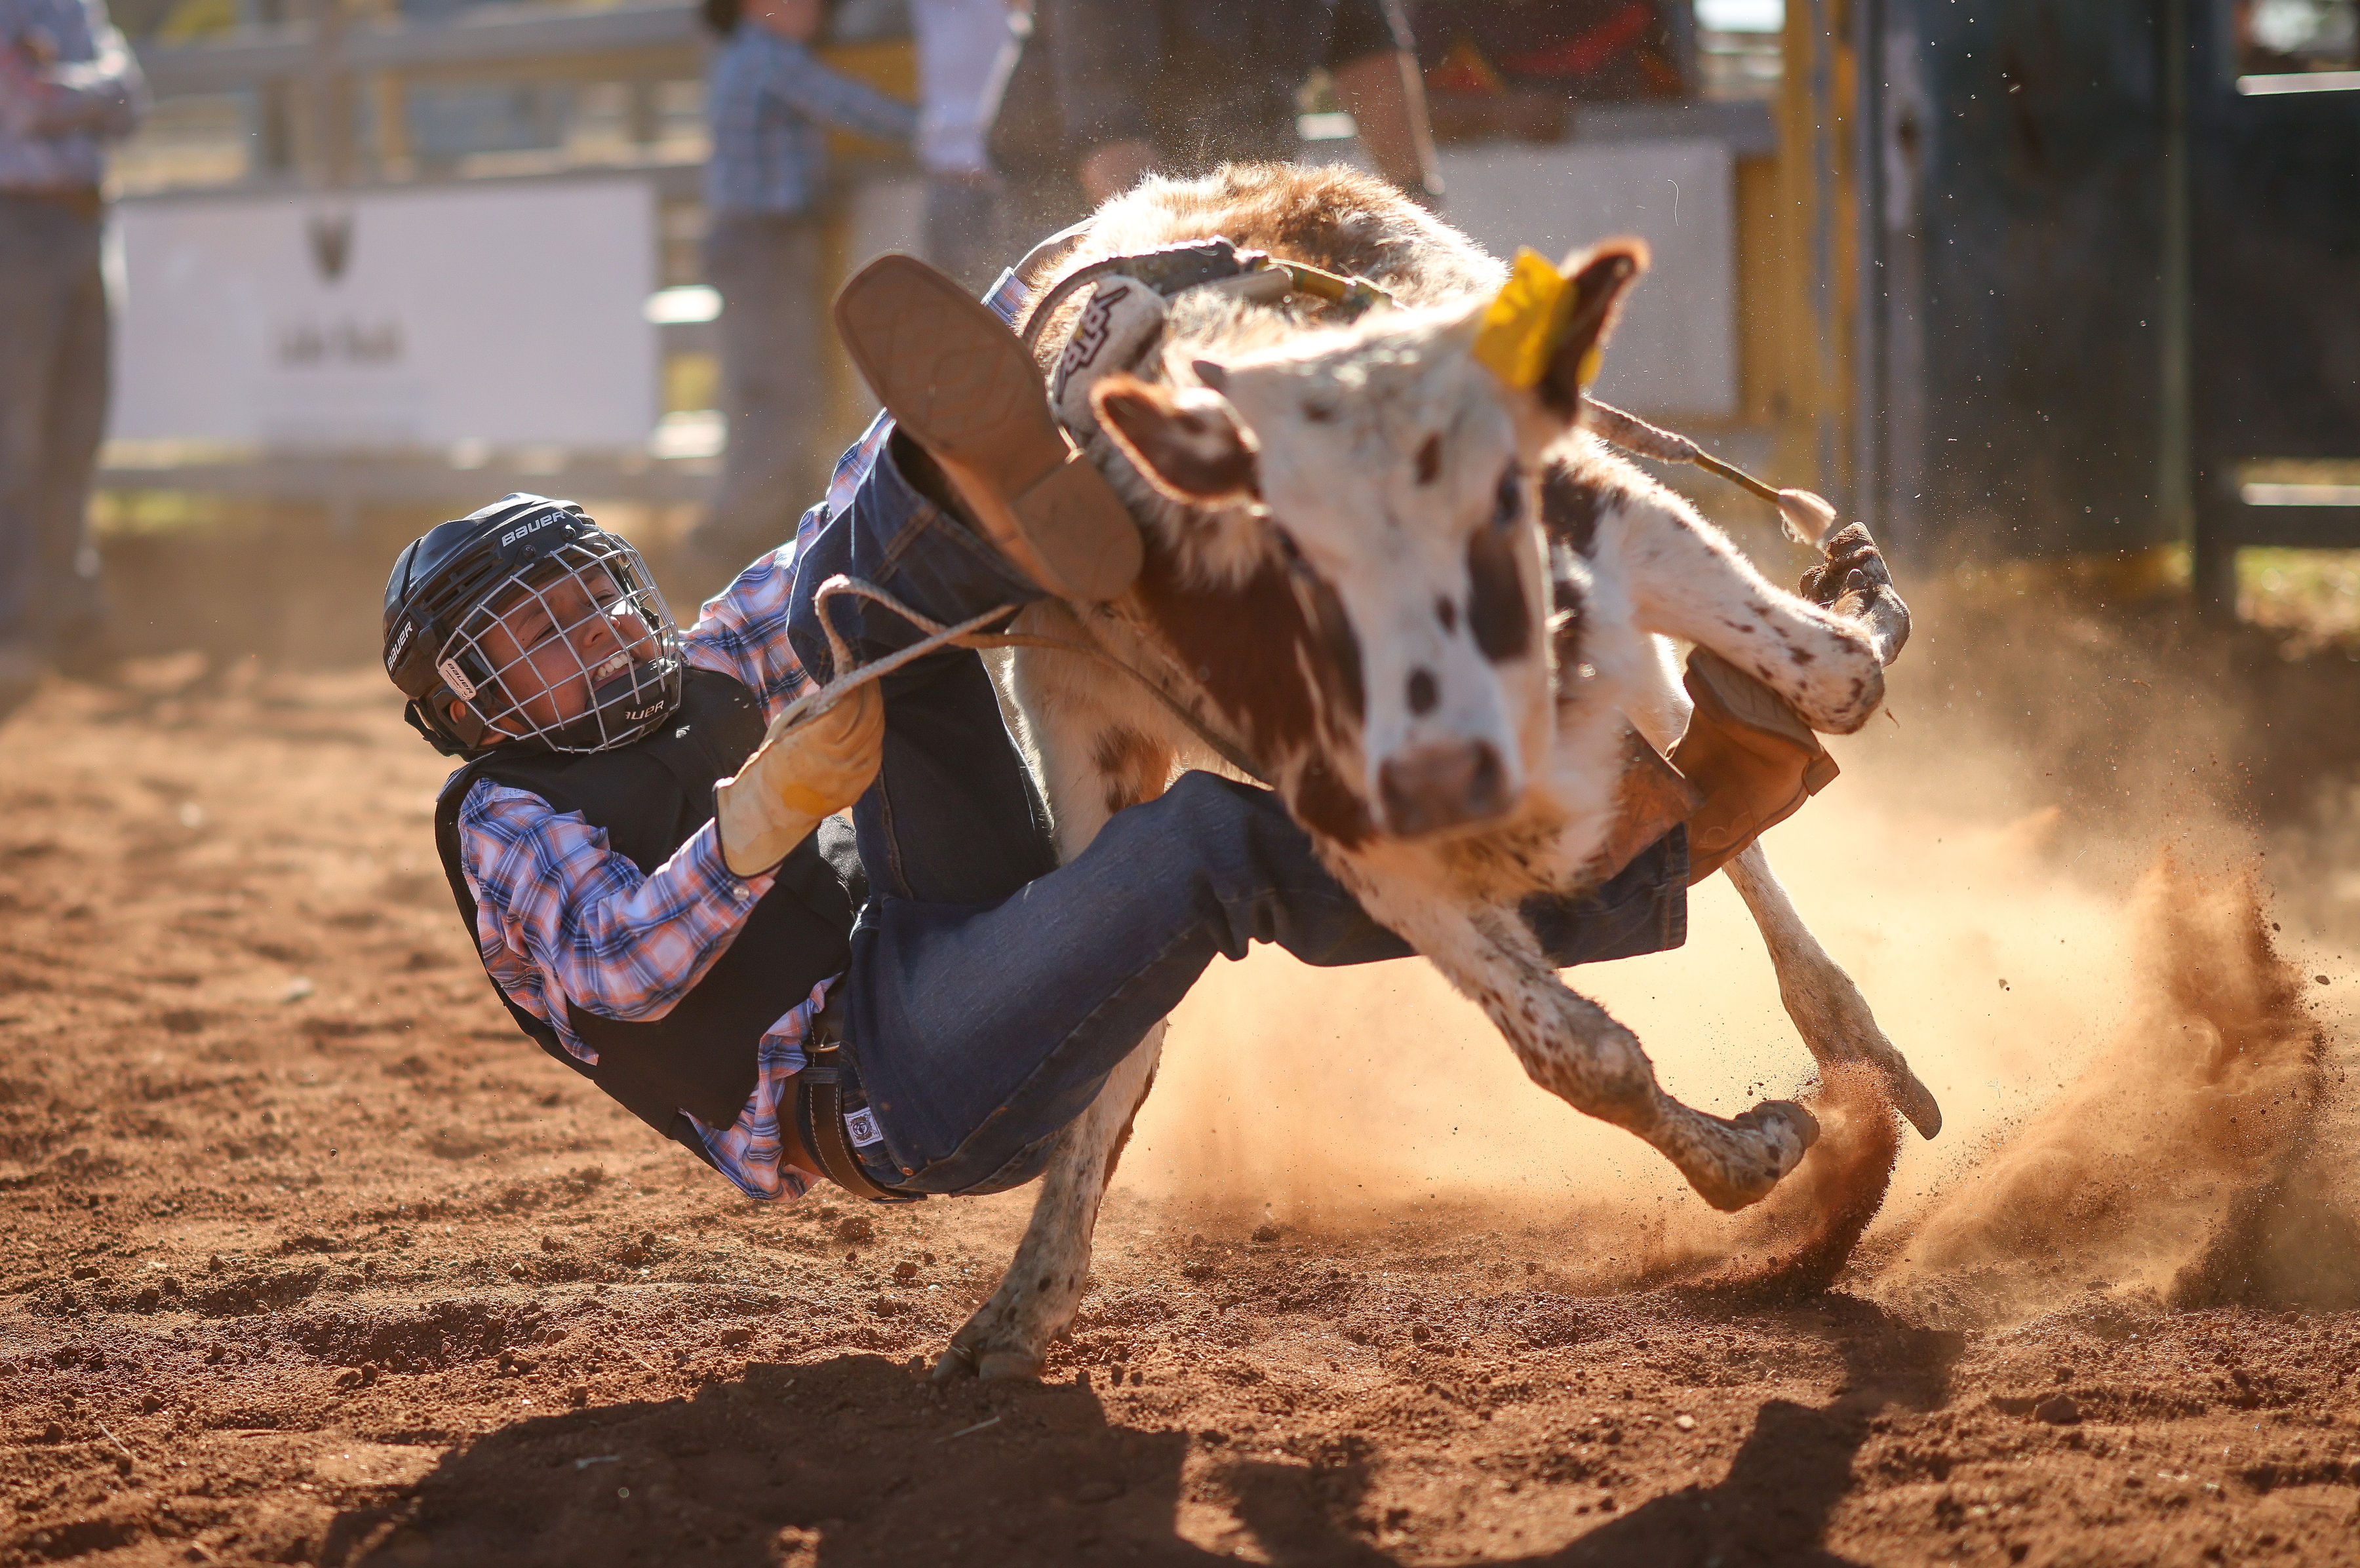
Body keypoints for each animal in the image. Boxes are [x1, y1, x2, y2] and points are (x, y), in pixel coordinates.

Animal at [929, 163, 1936, 1381]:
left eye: (1493, 492)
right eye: (1306, 560)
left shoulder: (1614, 524)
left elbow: (1838, 679)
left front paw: (1857, 605)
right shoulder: (1363, 833)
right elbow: (1583, 1057)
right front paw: (1757, 1150)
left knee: (1760, 752)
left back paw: (1848, 1024)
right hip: (1090, 741)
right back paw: (1029, 1294)